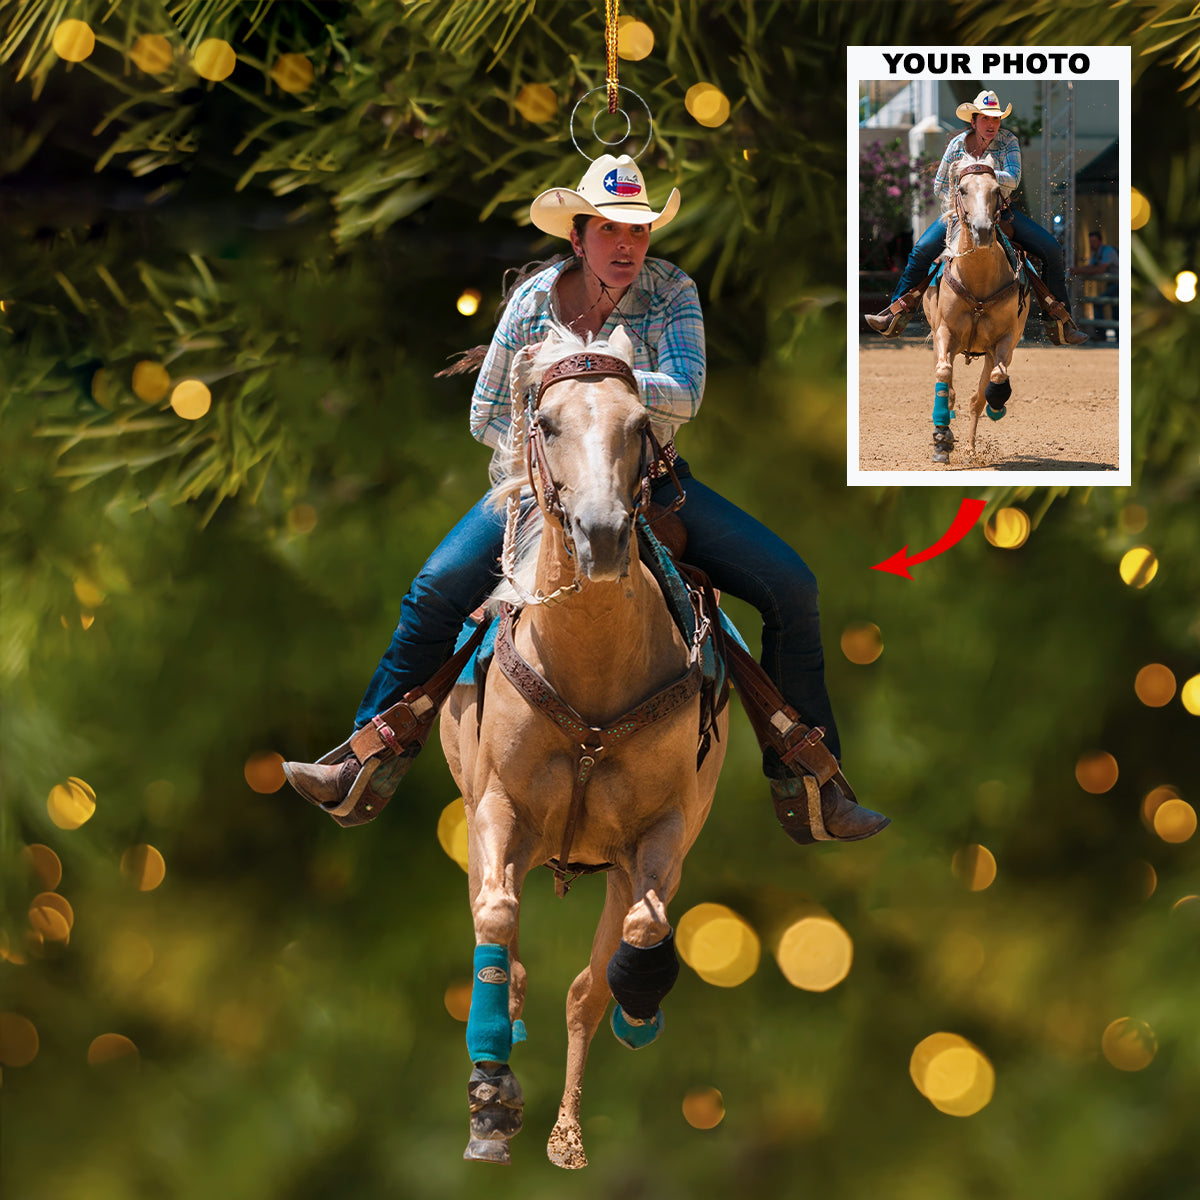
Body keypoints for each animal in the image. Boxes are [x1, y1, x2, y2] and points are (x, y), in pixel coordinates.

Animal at [439, 323, 729, 1170]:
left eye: (638, 427)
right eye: (546, 423)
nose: (601, 534)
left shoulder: (661, 836)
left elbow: (636, 937)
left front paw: (640, 1005)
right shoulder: (495, 810)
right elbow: (497, 918)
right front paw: (489, 1100)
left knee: (585, 989)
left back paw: (568, 1131)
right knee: (509, 950)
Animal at [922, 153, 1029, 464]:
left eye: (995, 191)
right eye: (962, 189)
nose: (982, 230)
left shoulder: (1005, 341)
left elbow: (993, 382)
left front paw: (997, 406)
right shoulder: (944, 332)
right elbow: (944, 374)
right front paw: (941, 440)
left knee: (977, 397)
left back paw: (970, 447)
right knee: (948, 383)